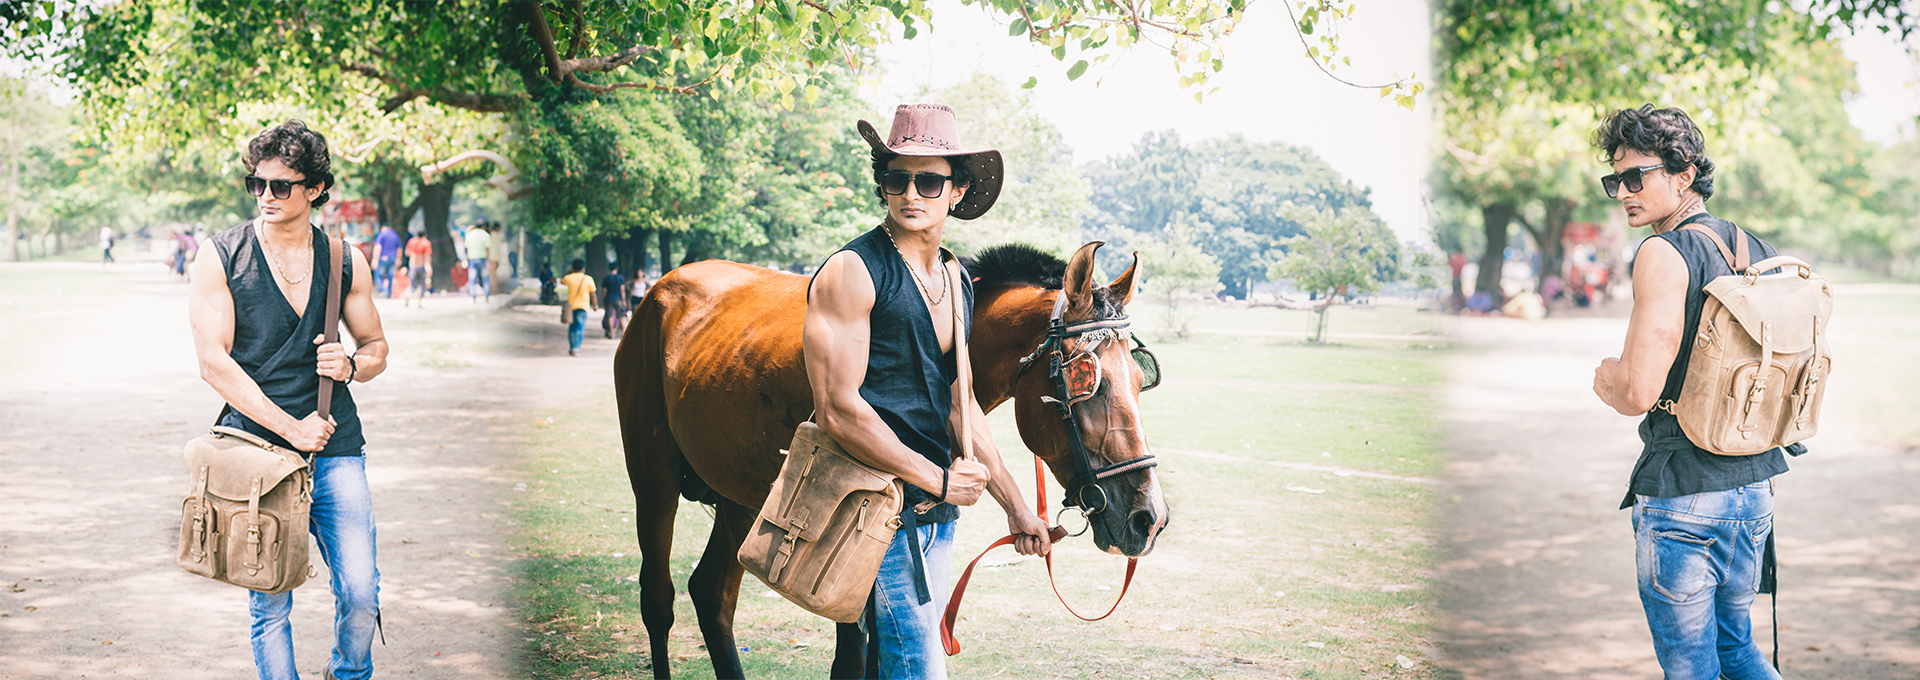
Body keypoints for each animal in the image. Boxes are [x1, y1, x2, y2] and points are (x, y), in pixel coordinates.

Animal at [610, 242, 1167, 676]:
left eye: (1142, 379)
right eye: (1087, 382)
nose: (1150, 517)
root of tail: (661, 290)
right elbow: (853, 660)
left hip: (742, 494)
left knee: (712, 596)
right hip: (653, 476)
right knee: (658, 600)